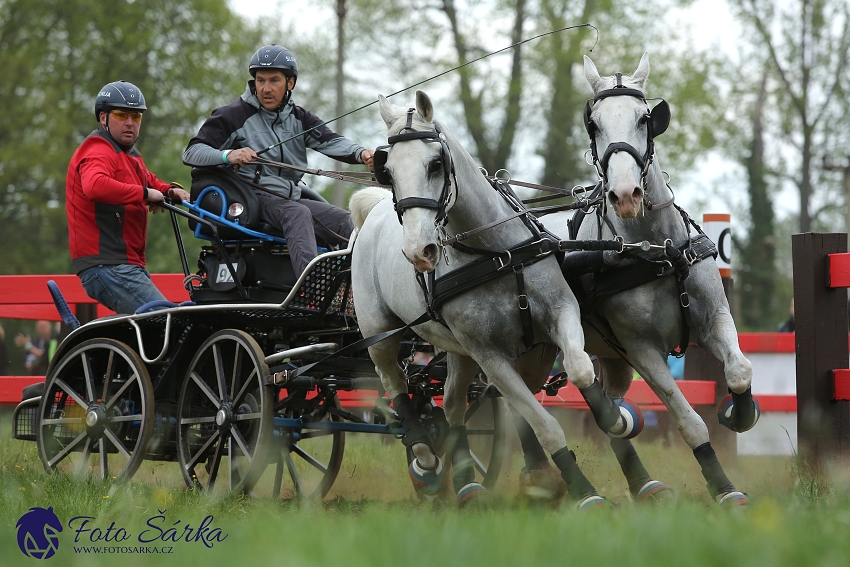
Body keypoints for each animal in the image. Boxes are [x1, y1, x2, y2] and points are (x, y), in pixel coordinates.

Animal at [348, 91, 640, 508]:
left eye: (435, 163)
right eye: (388, 171)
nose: (419, 251)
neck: (495, 254)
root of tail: (372, 213)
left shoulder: (561, 313)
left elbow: (581, 369)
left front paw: (615, 419)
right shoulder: (490, 355)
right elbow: (544, 424)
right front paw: (583, 491)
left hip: (456, 349)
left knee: (452, 405)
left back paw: (466, 482)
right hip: (380, 332)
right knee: (394, 384)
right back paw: (425, 459)